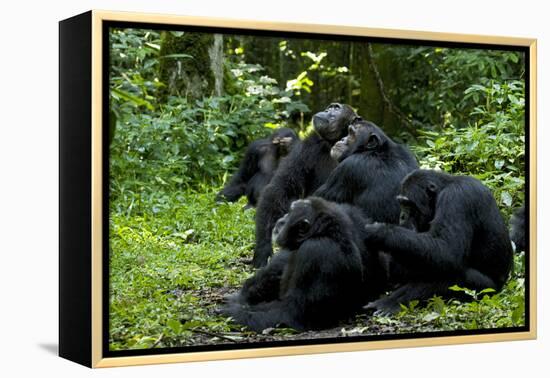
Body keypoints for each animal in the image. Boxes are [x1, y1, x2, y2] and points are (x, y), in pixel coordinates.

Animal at [220, 198, 384, 330]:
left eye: (291, 212)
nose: (282, 218)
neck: (324, 233)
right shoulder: (350, 215)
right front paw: (242, 295)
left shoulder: (317, 251)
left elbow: (292, 312)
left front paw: (232, 311)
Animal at [253, 103, 358, 268]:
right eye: (331, 107)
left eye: (337, 109)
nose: (328, 110)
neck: (334, 141)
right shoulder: (307, 146)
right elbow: (281, 188)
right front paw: (263, 249)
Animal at [364, 170, 516, 314]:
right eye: (401, 203)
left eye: (408, 204)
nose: (402, 216)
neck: (443, 189)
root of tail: (501, 287)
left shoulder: (456, 198)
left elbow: (447, 250)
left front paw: (379, 231)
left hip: (485, 291)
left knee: (452, 274)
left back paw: (390, 303)